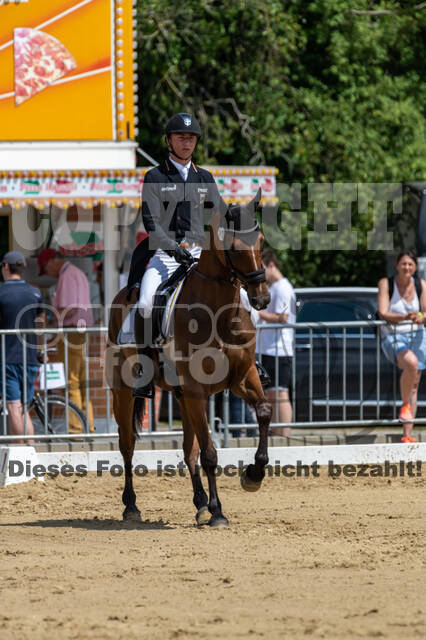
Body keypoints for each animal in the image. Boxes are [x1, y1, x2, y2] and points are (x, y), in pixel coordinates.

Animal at [107, 191, 272, 527]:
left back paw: (200, 504)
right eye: (233, 246)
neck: (219, 316)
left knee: (187, 450)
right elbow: (209, 452)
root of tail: (121, 296)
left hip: (181, 396)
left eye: (261, 240)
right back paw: (131, 506)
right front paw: (219, 512)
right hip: (126, 392)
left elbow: (263, 411)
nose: (262, 298)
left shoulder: (243, 377)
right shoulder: (197, 390)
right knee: (127, 445)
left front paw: (253, 475)